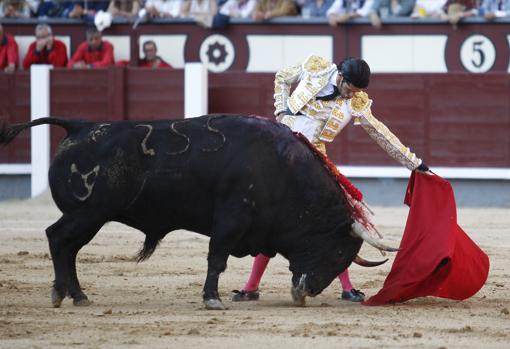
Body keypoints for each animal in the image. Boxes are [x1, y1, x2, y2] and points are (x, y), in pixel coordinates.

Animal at [0, 115, 392, 308]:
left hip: (90, 218)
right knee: (57, 239)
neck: (283, 171)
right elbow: (216, 259)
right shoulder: (231, 220)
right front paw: (212, 299)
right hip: (87, 214)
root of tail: (79, 127)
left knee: (68, 248)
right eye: (338, 253)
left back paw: (78, 296)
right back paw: (61, 294)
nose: (305, 292)